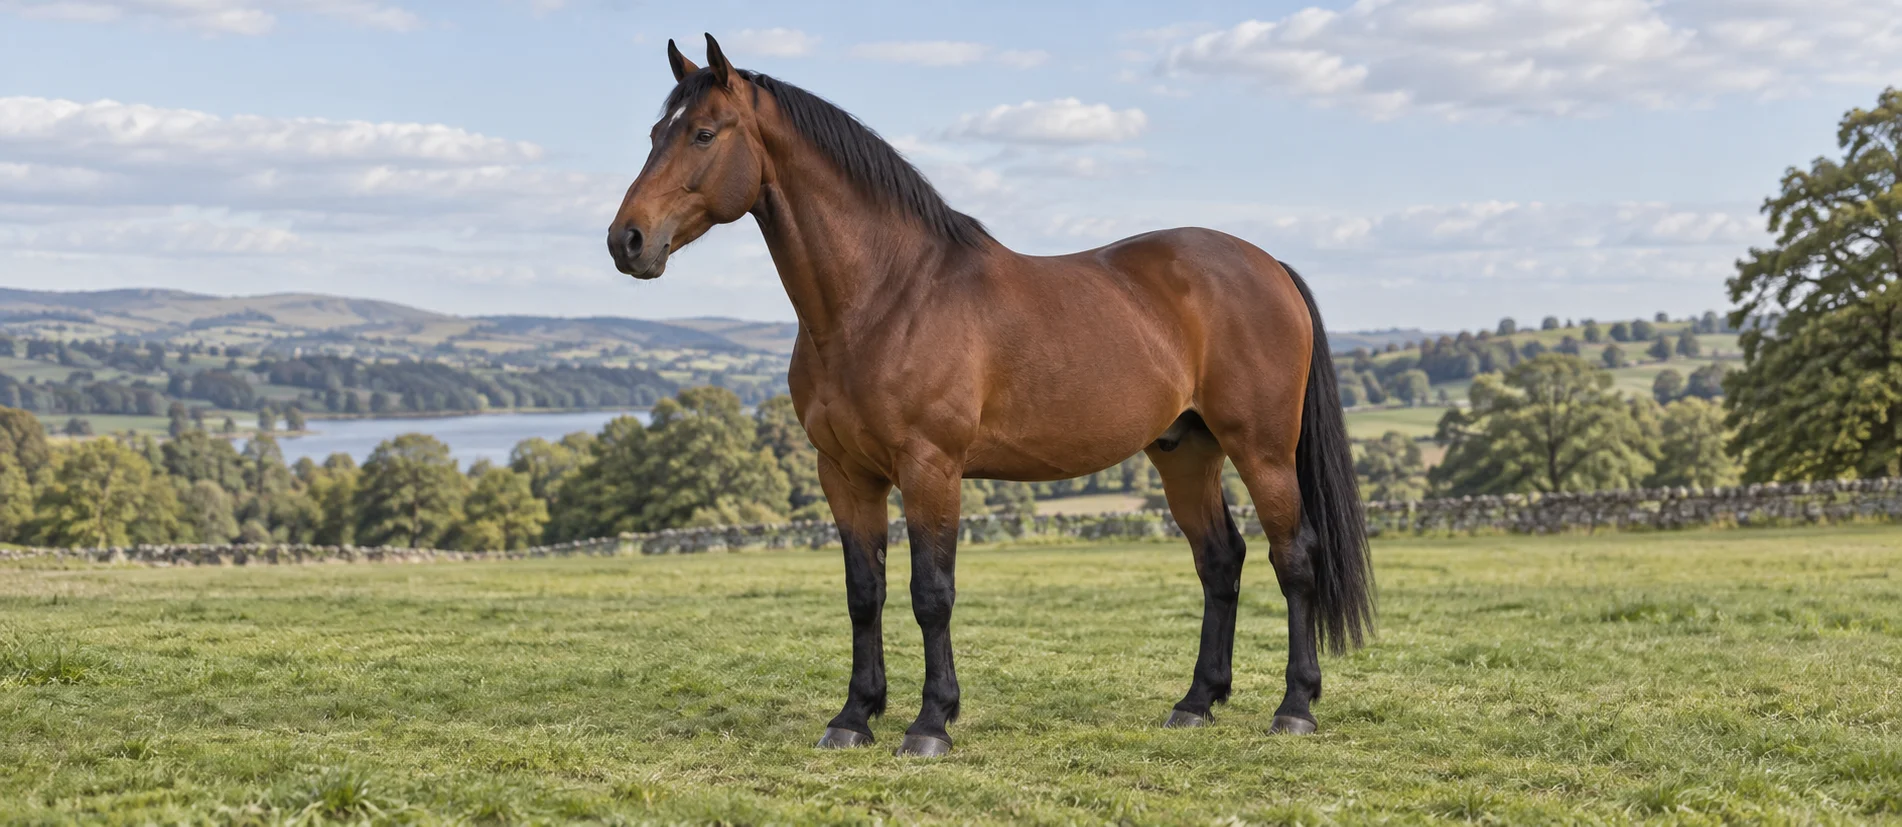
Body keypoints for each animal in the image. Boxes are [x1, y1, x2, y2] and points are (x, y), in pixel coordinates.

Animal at [608, 34, 1374, 758]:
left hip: (1262, 450)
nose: (627, 241)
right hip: (1185, 451)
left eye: (704, 133)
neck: (886, 296)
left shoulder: (931, 468)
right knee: (1220, 561)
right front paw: (854, 716)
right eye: (654, 133)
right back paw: (1195, 703)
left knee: (1294, 558)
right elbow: (864, 594)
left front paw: (930, 723)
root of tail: (1268, 265)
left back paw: (1295, 707)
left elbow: (931, 594)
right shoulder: (845, 474)